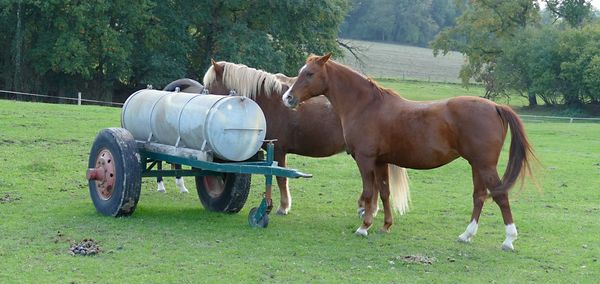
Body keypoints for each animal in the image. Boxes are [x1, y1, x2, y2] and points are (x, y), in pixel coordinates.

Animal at [204, 60, 410, 215]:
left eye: (209, 85)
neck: (270, 101)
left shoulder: (278, 151)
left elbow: (281, 178)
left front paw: (283, 207)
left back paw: (369, 210)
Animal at [284, 53, 536, 251]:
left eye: (309, 74)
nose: (288, 98)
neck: (366, 105)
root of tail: (495, 106)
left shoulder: (365, 160)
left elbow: (368, 193)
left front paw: (364, 227)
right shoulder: (380, 162)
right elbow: (384, 193)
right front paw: (386, 225)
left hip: (485, 166)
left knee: (500, 196)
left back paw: (508, 240)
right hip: (476, 165)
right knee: (479, 196)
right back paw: (466, 235)